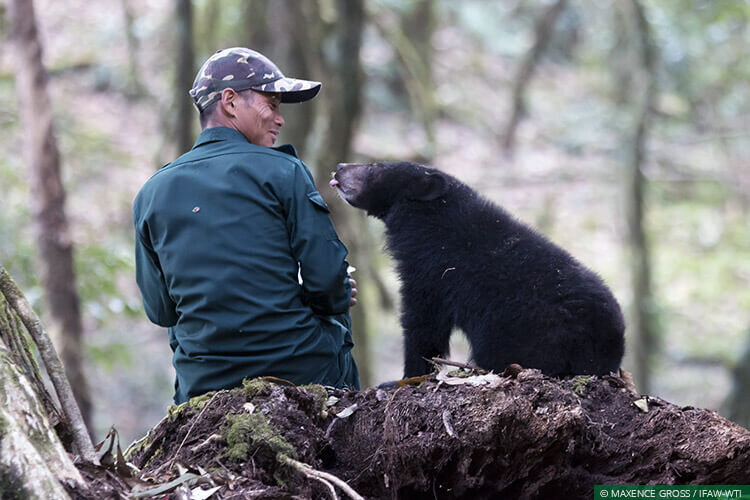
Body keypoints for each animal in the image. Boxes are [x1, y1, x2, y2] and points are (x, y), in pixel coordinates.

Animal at [331, 161, 625, 378]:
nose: (340, 167)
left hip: (525, 336)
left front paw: (408, 375)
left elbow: (423, 321)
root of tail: (612, 347)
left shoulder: (429, 269)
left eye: (375, 167)